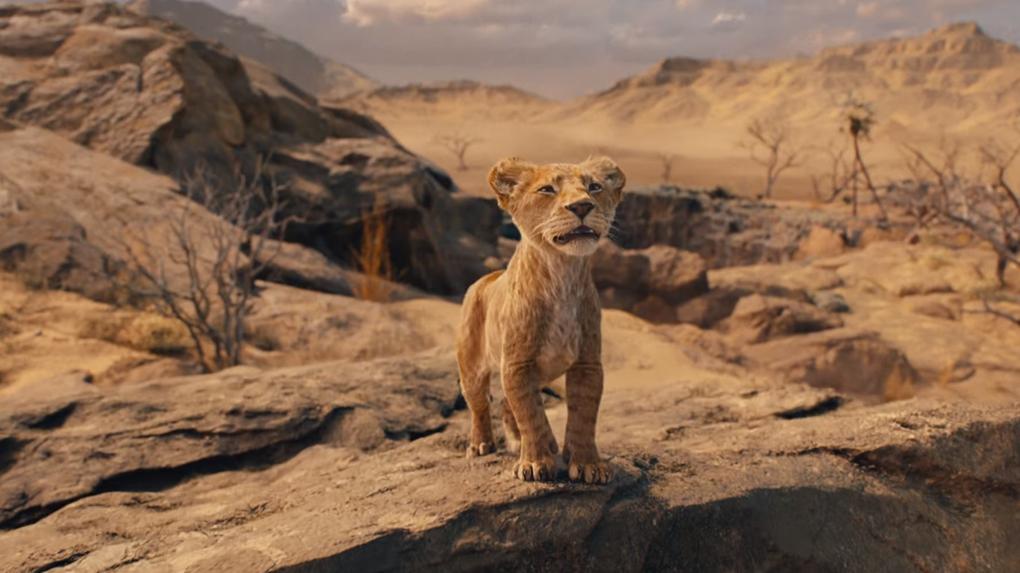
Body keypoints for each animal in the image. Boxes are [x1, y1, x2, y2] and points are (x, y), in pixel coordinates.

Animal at [456, 156, 625, 484]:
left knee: (508, 405)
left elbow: (583, 415)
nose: (582, 206)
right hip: (471, 368)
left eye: (594, 187)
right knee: (480, 405)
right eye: (547, 189)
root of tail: (486, 278)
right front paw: (535, 463)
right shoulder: (517, 364)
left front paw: (587, 464)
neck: (561, 274)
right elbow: (530, 414)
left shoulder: (588, 364)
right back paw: (481, 444)